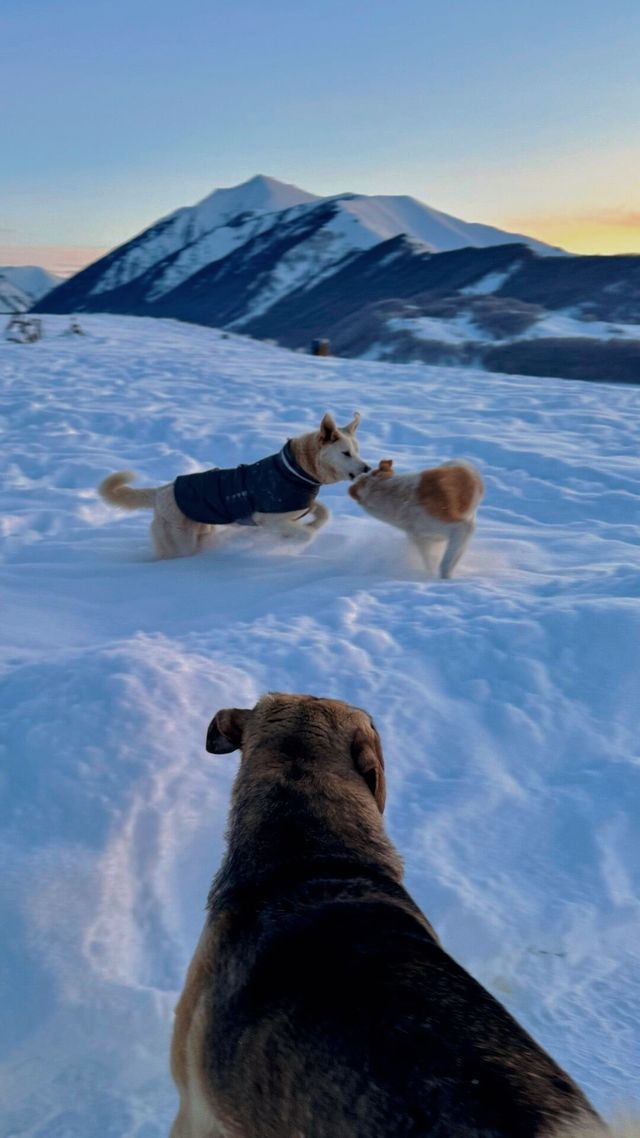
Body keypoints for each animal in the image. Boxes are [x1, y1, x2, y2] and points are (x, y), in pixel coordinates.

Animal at [96, 416, 366, 562]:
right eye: (346, 453)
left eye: (357, 450)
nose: (366, 468)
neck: (296, 469)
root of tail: (161, 492)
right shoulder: (267, 519)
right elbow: (306, 534)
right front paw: (295, 538)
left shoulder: (302, 505)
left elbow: (323, 513)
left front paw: (310, 525)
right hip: (181, 543)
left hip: (201, 532)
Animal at [348, 455, 482, 578]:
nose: (363, 469)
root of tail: (462, 462)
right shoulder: (422, 540)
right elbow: (429, 562)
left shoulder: (459, 527)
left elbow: (445, 562)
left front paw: (444, 578)